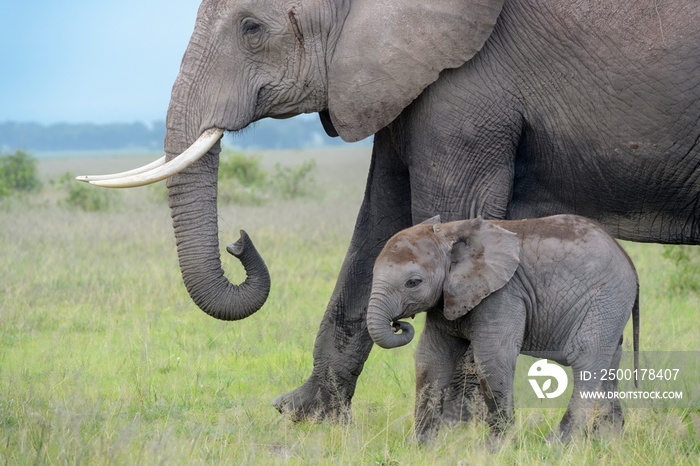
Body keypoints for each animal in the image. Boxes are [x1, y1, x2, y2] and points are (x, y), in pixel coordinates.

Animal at [370, 215, 636, 440]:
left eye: (413, 283)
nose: (397, 324)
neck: (448, 232)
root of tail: (626, 257)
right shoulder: (446, 299)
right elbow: (432, 360)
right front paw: (423, 446)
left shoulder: (503, 293)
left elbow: (493, 358)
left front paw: (497, 448)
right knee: (609, 361)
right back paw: (609, 441)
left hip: (606, 298)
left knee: (586, 359)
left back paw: (557, 444)